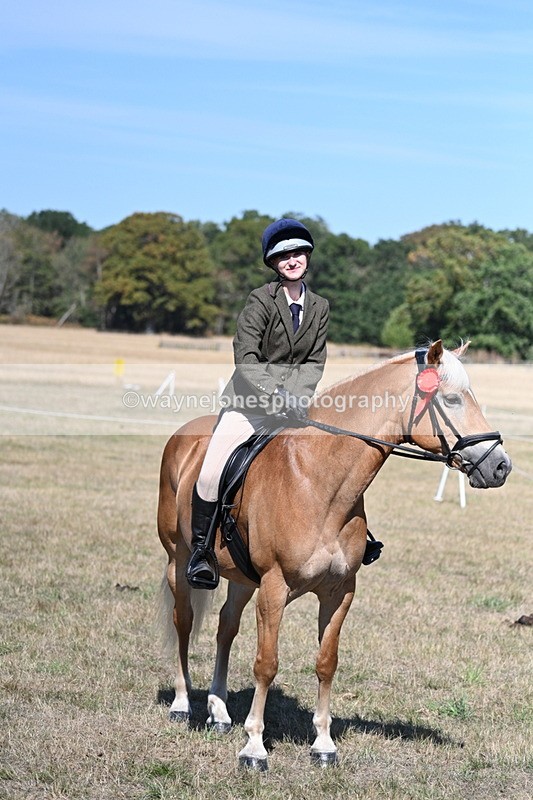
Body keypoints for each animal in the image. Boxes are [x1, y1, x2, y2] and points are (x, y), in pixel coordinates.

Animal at [156, 340, 511, 771]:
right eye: (453, 399)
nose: (501, 466)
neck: (318, 480)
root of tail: (183, 436)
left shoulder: (339, 591)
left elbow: (327, 663)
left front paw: (323, 744)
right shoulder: (274, 588)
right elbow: (266, 663)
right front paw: (254, 747)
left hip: (242, 578)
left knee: (226, 627)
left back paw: (219, 711)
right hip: (179, 561)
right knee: (184, 622)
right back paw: (181, 704)